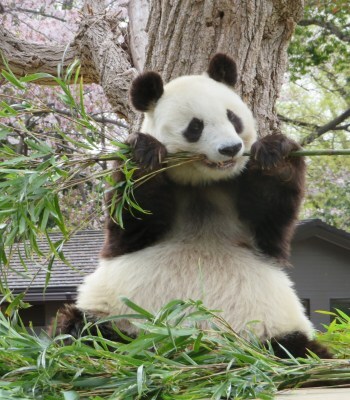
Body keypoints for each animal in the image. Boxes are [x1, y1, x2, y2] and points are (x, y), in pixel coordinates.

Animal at [54, 54, 330, 360]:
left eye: (232, 118)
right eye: (195, 126)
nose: (231, 148)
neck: (203, 185)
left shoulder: (246, 206)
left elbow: (270, 209)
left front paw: (274, 152)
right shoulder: (136, 227)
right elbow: (134, 214)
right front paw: (144, 153)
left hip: (273, 330)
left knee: (300, 351)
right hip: (118, 318)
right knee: (83, 331)